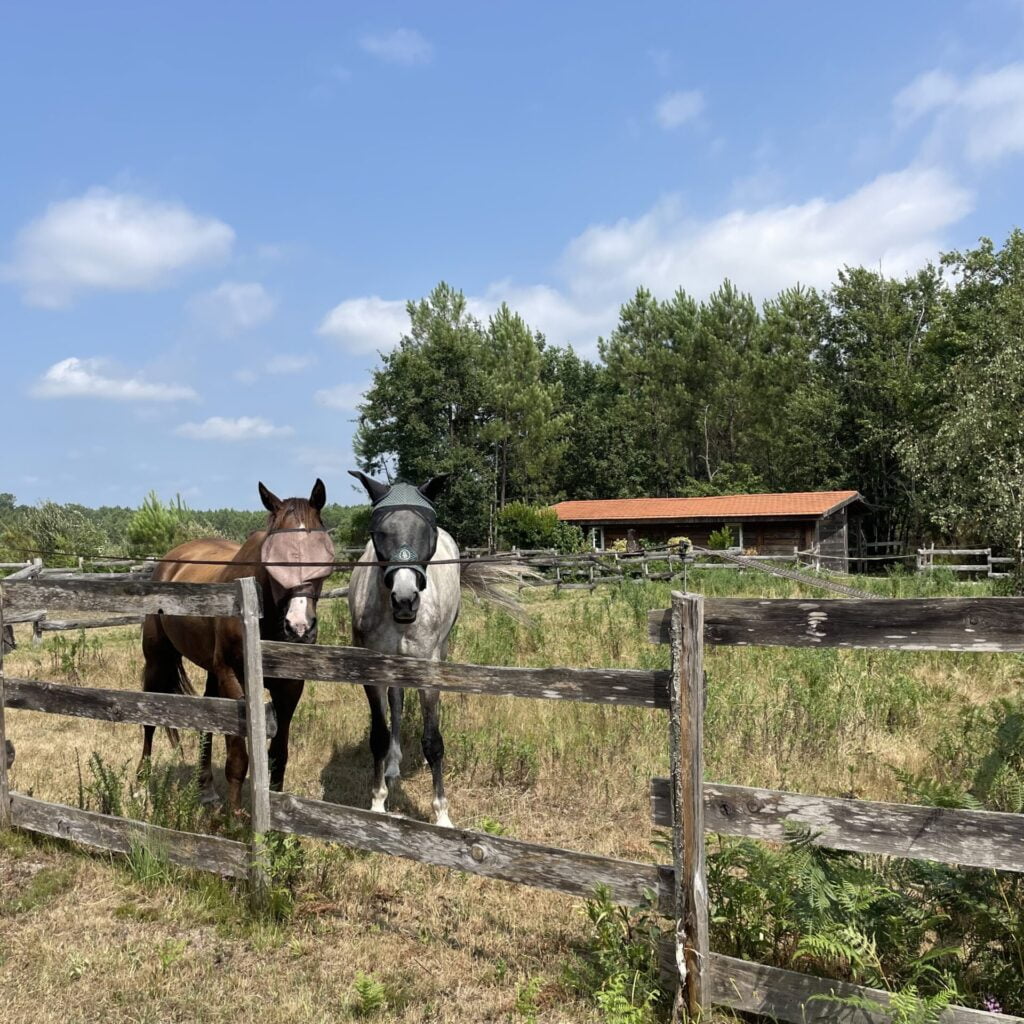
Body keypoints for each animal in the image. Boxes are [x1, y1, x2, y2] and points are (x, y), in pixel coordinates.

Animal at [138, 479, 334, 810]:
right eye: (272, 559)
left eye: (322, 555)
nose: (299, 627)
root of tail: (169, 562)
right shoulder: (232, 677)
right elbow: (239, 756)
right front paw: (236, 815)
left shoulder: (290, 686)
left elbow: (278, 754)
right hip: (158, 660)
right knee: (149, 719)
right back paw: (141, 786)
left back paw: (205, 788)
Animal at [347, 470, 521, 827]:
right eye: (378, 532)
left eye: (427, 530)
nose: (405, 599)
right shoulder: (373, 670)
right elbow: (379, 735)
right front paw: (378, 803)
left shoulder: (427, 668)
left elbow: (433, 742)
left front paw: (441, 815)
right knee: (397, 704)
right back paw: (393, 766)